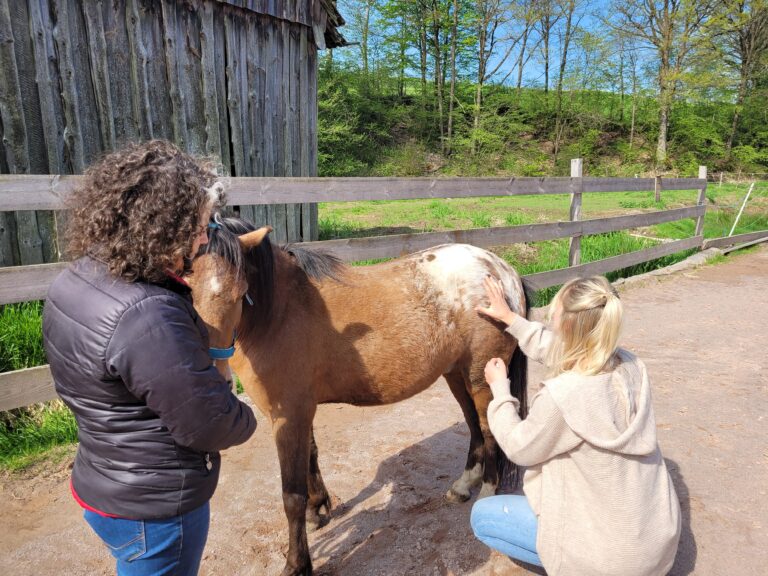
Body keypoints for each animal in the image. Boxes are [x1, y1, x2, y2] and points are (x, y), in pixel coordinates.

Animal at [189, 217, 532, 576]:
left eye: (241, 292)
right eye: (184, 286)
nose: (211, 373)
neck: (279, 311)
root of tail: (502, 270)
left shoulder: (288, 416)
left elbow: (291, 495)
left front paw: (297, 564)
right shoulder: (300, 412)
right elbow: (311, 457)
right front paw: (318, 511)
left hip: (481, 379)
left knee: (490, 432)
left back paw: (486, 493)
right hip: (457, 375)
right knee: (474, 427)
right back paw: (463, 486)